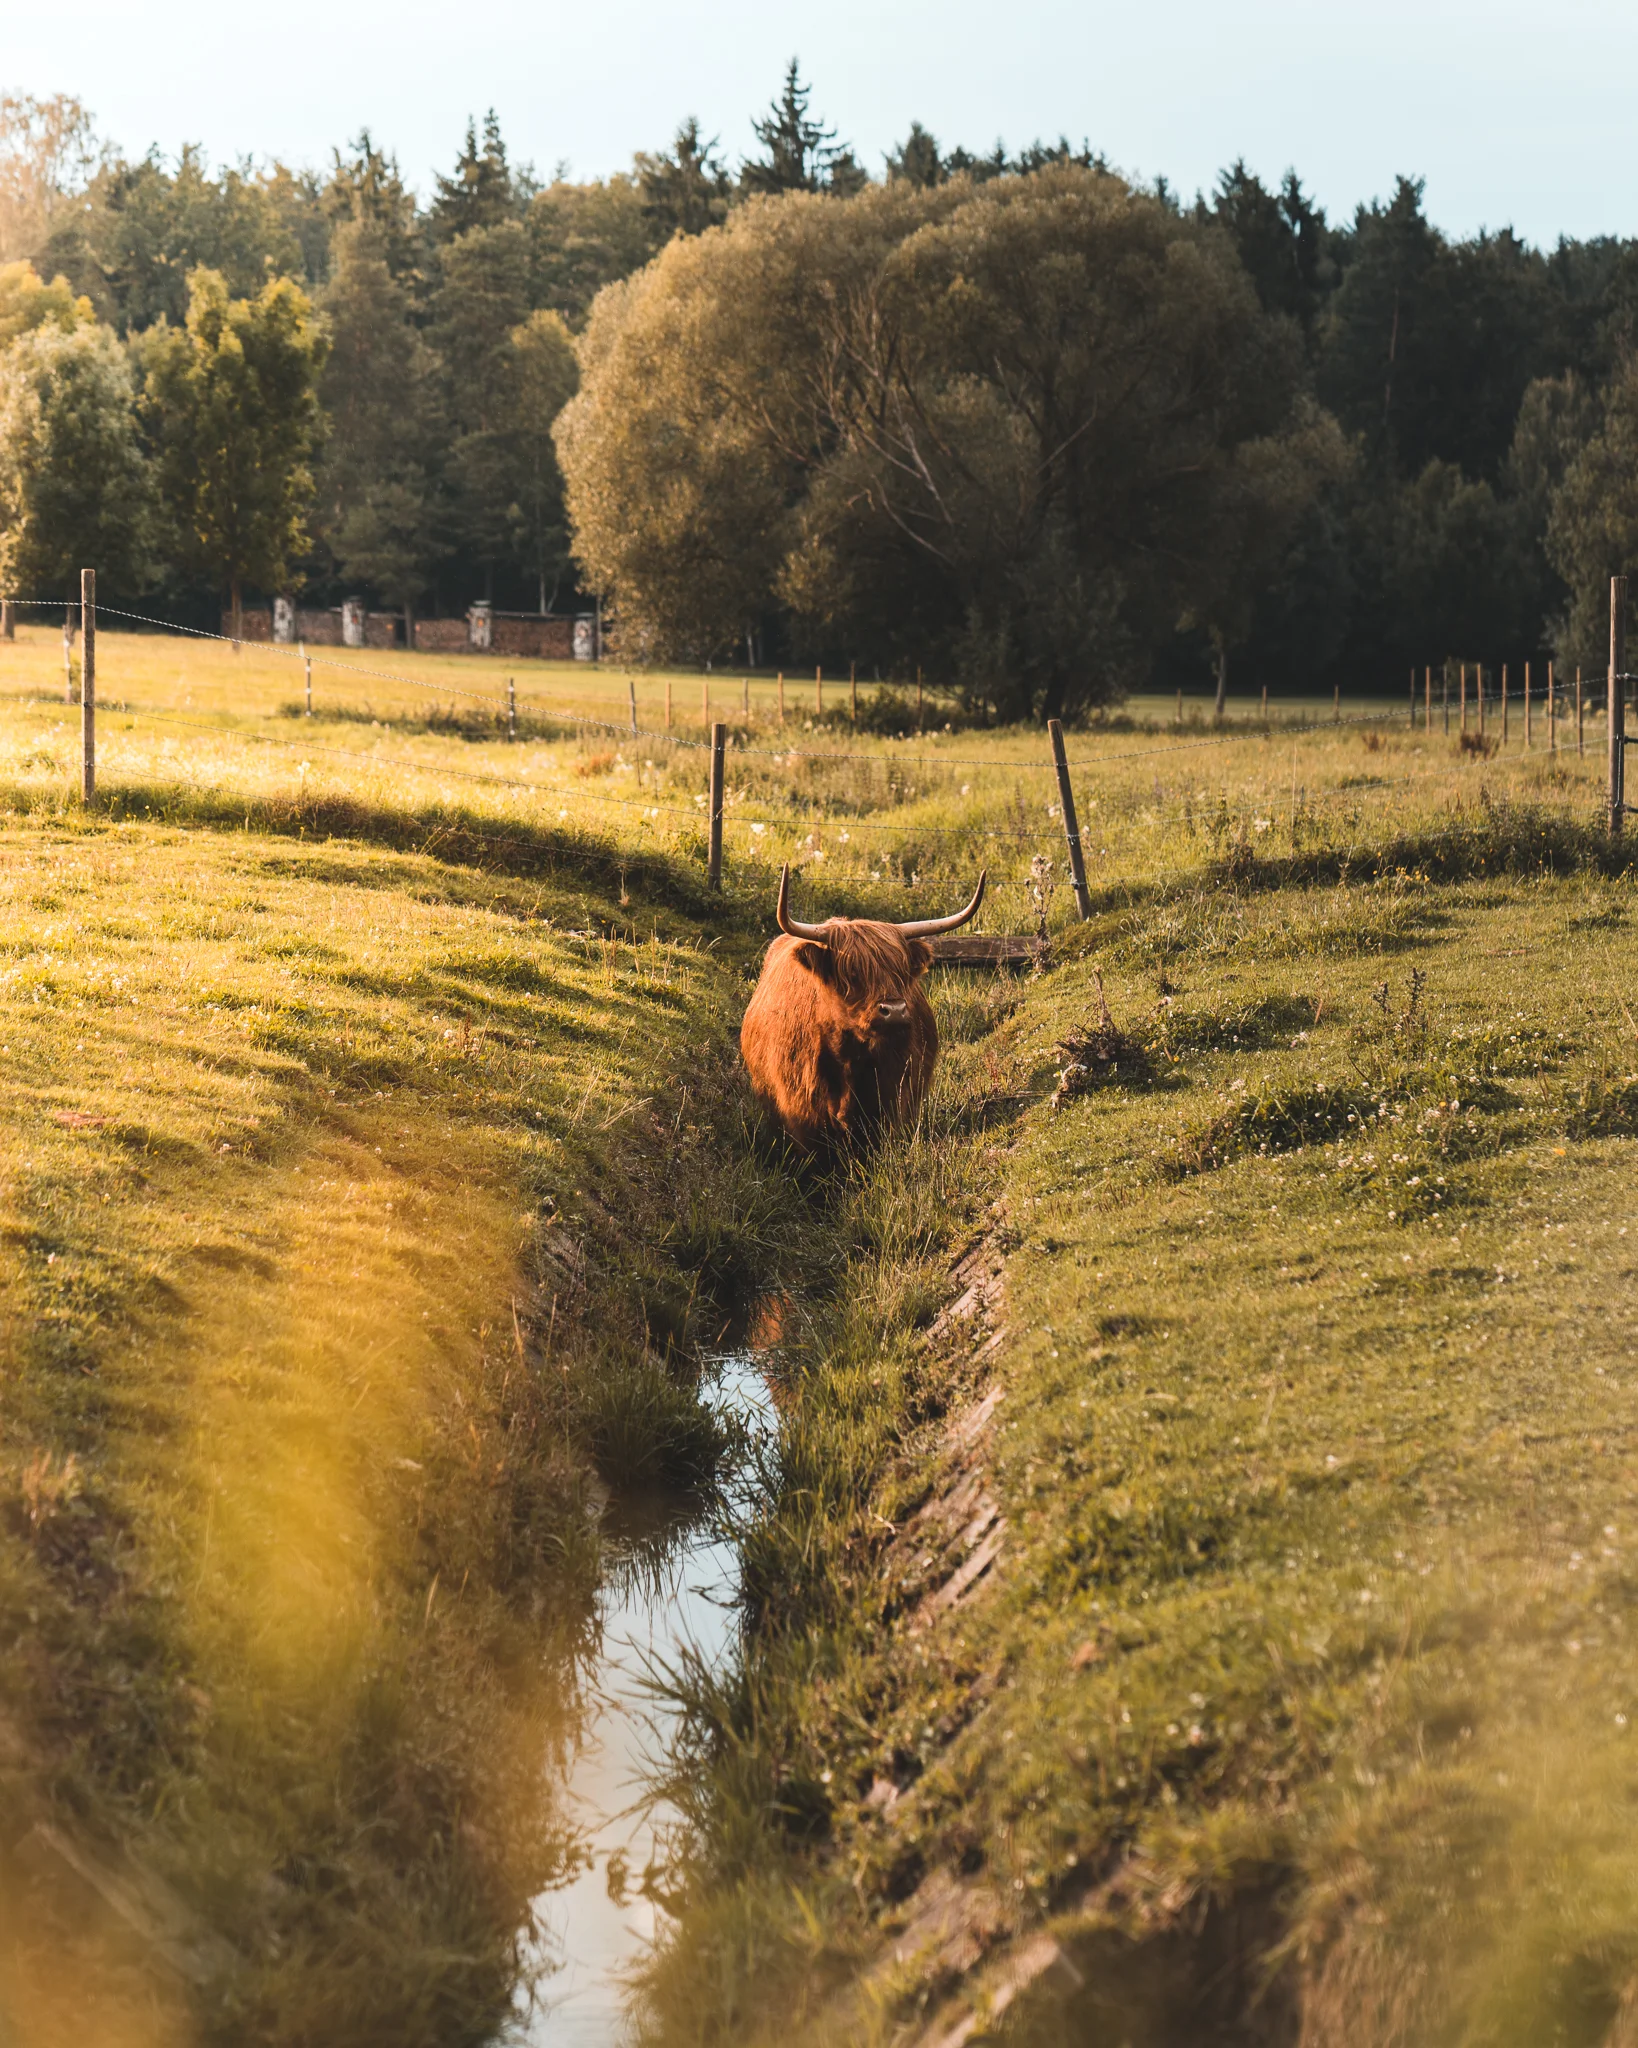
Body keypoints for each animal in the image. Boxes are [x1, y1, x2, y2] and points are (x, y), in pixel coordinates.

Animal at [740, 864, 987, 1153]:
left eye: (900, 972)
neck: (849, 1054)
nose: (895, 1011)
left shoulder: (893, 1101)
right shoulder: (800, 1109)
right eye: (852, 973)